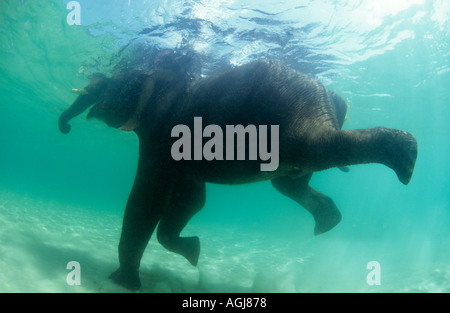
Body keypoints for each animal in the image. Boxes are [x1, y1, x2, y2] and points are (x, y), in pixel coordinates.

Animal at [58, 58, 416, 288]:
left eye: (111, 86)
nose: (64, 128)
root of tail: (329, 96)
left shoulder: (159, 134)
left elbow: (147, 199)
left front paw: (123, 282)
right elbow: (190, 199)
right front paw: (193, 253)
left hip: (290, 116)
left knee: (313, 149)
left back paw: (406, 161)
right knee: (289, 182)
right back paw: (328, 223)